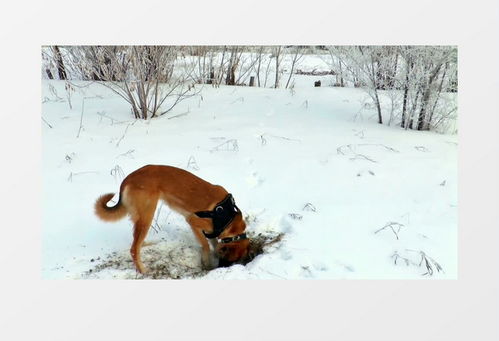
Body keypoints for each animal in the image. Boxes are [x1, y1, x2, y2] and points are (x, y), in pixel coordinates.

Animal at [94, 163, 250, 272]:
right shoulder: (192, 221)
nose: (221, 268)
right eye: (229, 259)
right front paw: (207, 262)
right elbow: (205, 245)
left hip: (141, 216)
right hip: (147, 214)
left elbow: (214, 243)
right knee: (133, 249)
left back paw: (146, 244)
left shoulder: (212, 231)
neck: (228, 218)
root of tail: (128, 179)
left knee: (136, 242)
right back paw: (143, 271)